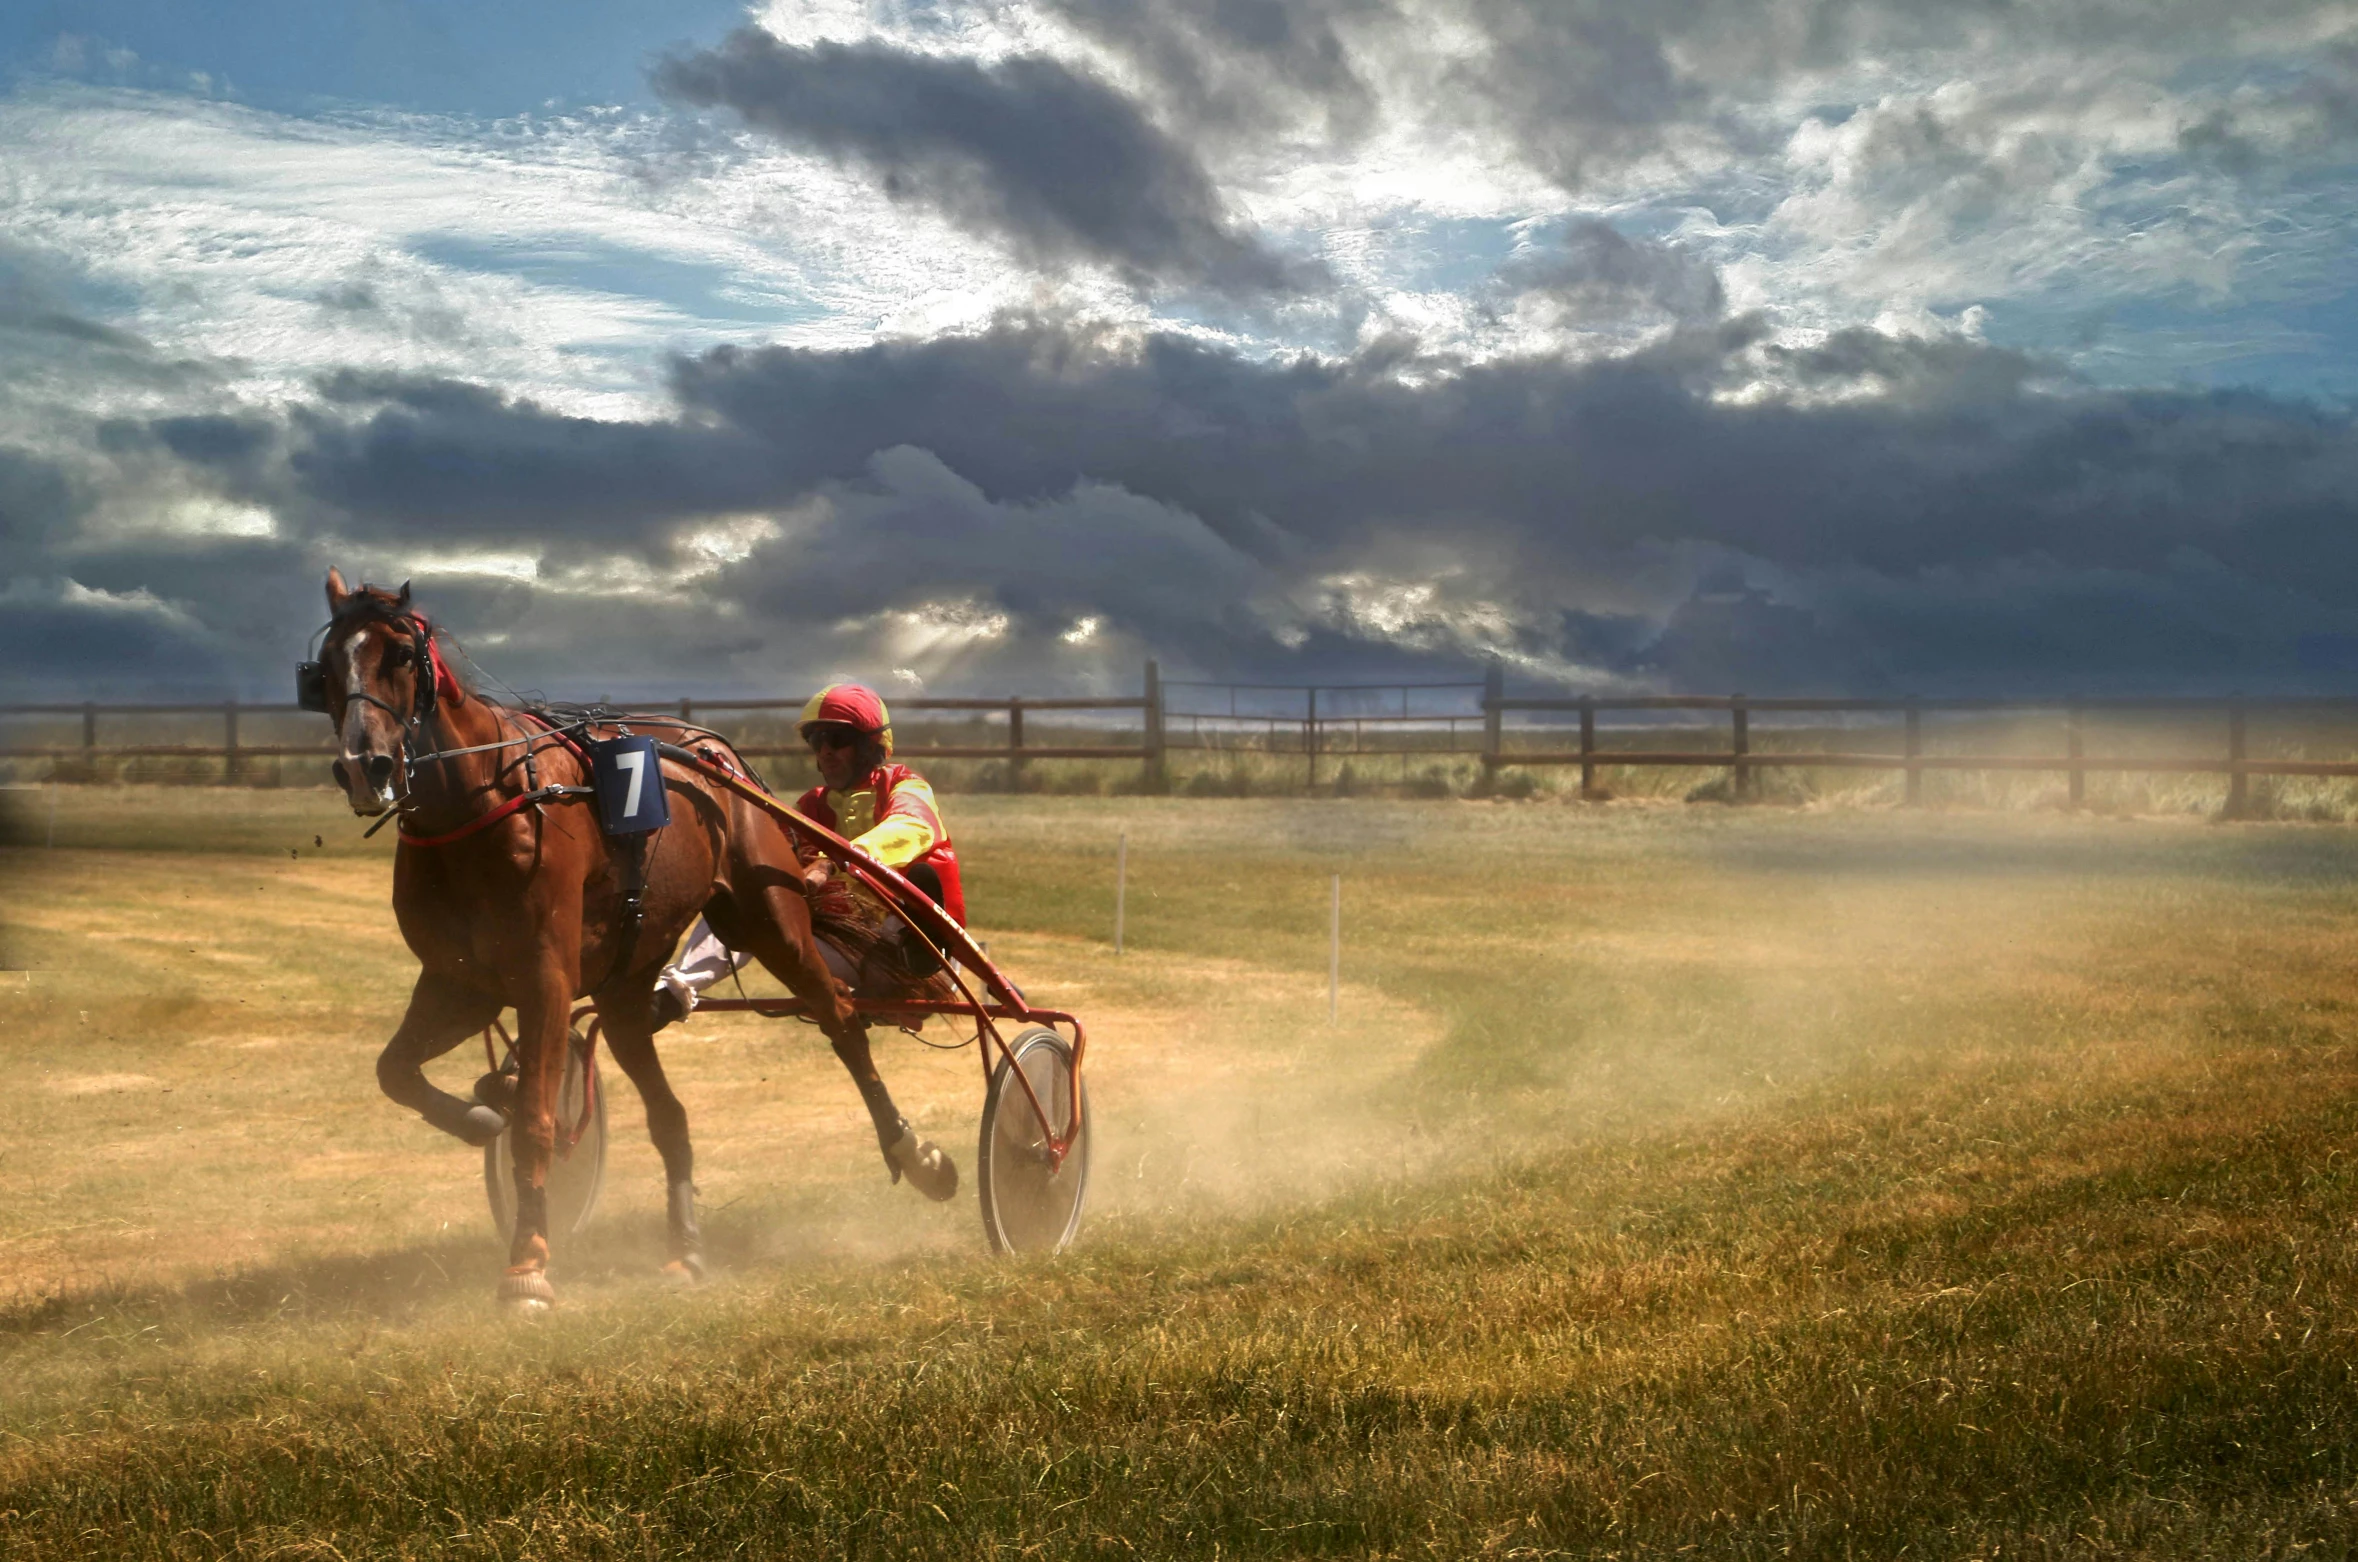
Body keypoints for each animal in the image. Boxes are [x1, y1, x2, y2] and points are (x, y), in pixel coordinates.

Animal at [311, 568, 957, 1311]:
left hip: (773, 922)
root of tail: (714, 753)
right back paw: (685, 1247)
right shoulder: (460, 981)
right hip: (625, 987)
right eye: (323, 668)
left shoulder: (544, 977)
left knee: (844, 1024)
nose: (365, 764)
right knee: (669, 1113)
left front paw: (527, 1264)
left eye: (398, 655)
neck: (484, 806)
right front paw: (482, 1115)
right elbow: (396, 1072)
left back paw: (916, 1154)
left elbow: (535, 1120)